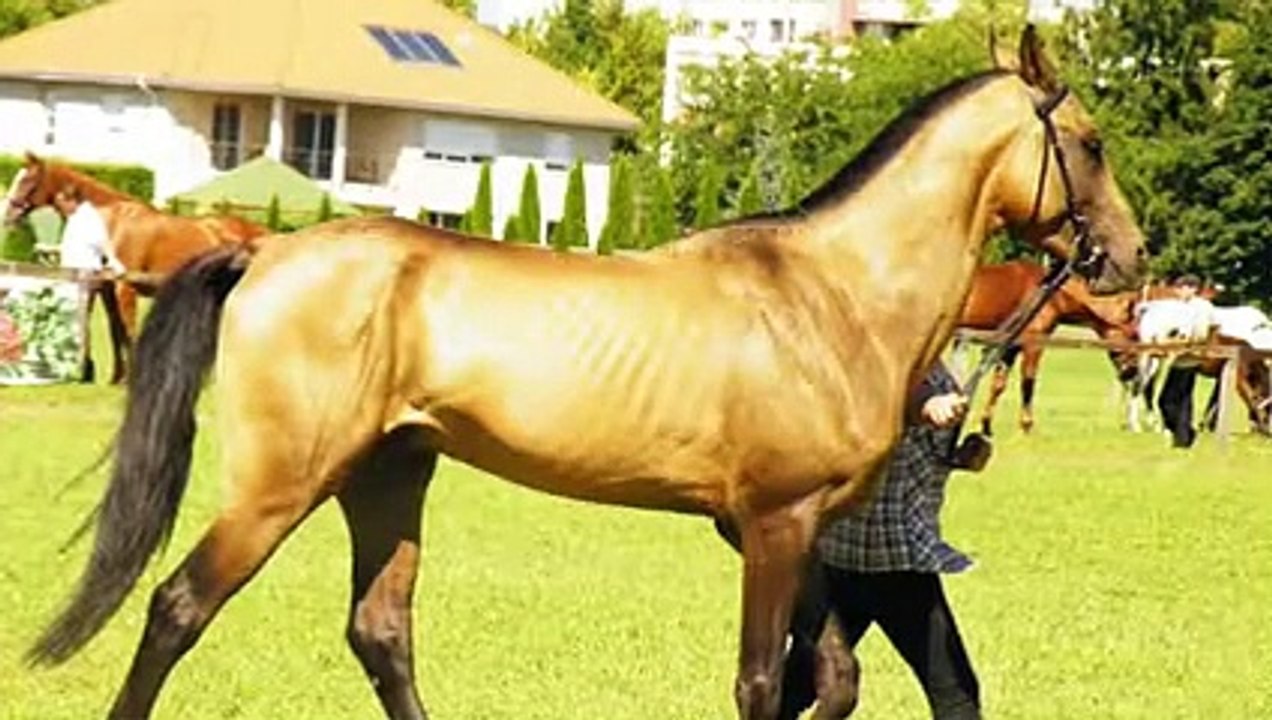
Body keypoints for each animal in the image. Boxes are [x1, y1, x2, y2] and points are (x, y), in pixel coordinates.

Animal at [2, 153, 269, 383]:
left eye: (27, 179)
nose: (7, 214)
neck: (113, 221)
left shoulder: (125, 287)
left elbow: (129, 329)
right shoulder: (108, 289)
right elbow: (115, 329)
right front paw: (116, 377)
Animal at [957, 258, 1137, 435]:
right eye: (1134, 335)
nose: (1131, 372)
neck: (1054, 297)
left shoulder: (1010, 348)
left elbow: (998, 385)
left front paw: (986, 427)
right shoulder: (1033, 345)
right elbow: (1028, 383)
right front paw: (1026, 425)